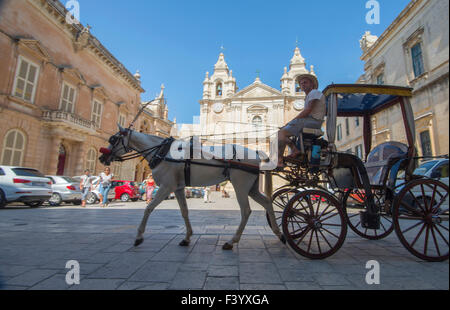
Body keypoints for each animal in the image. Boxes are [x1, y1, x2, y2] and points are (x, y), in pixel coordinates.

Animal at [99, 125, 284, 249]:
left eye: (113, 139)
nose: (101, 158)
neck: (163, 152)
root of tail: (257, 153)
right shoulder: (178, 188)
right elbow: (184, 212)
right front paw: (187, 237)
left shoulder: (166, 187)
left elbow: (148, 208)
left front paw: (139, 236)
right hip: (251, 188)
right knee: (267, 203)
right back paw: (279, 234)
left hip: (240, 187)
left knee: (246, 211)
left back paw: (232, 241)